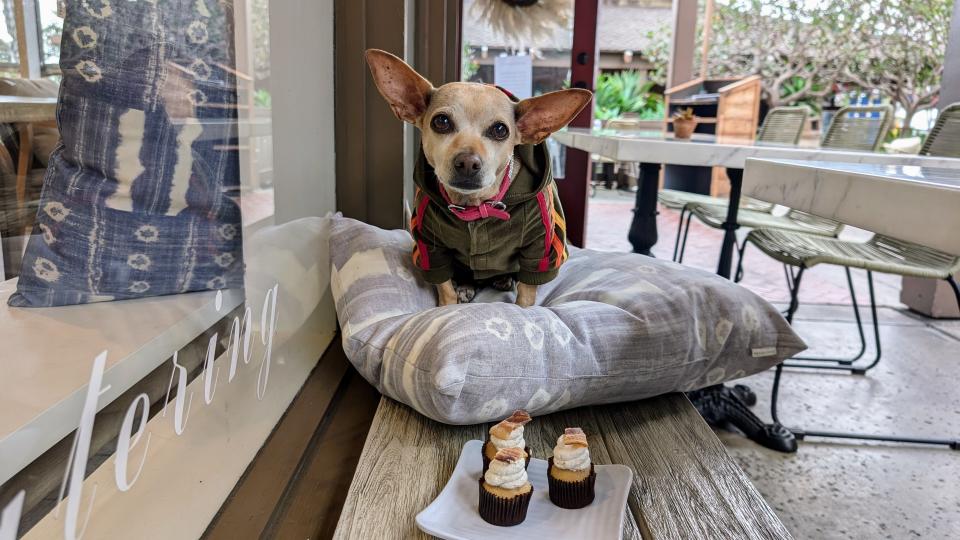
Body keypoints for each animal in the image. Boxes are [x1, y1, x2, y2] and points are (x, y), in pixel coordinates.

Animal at [366, 50, 592, 308]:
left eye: (500, 130)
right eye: (441, 122)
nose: (467, 163)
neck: (474, 207)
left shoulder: (540, 248)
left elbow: (526, 294)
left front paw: (524, 309)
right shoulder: (430, 248)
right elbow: (445, 288)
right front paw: (447, 306)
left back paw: (502, 279)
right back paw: (466, 286)